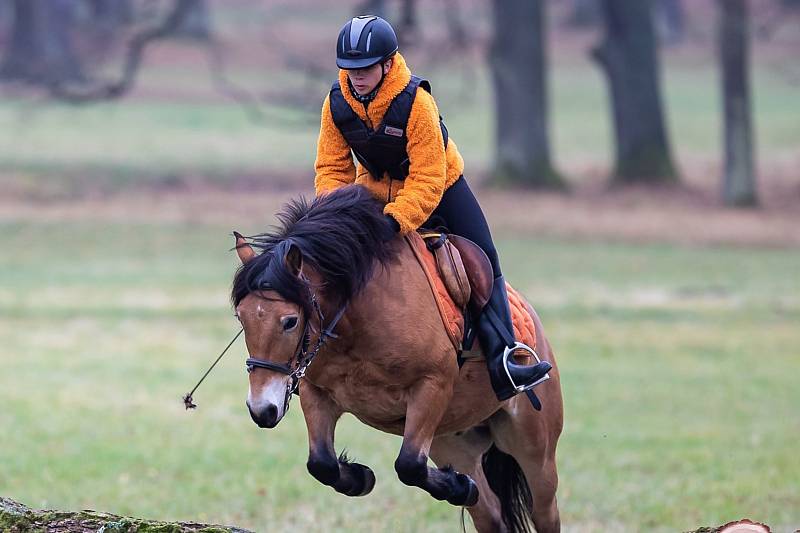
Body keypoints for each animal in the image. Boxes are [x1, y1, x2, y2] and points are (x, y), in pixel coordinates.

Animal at [231, 184, 564, 532]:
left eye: (290, 321)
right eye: (241, 317)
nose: (262, 410)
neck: (356, 320)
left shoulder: (432, 385)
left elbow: (408, 465)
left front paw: (456, 487)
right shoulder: (316, 392)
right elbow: (321, 463)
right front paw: (361, 478)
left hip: (535, 450)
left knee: (545, 511)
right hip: (454, 442)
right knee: (491, 513)